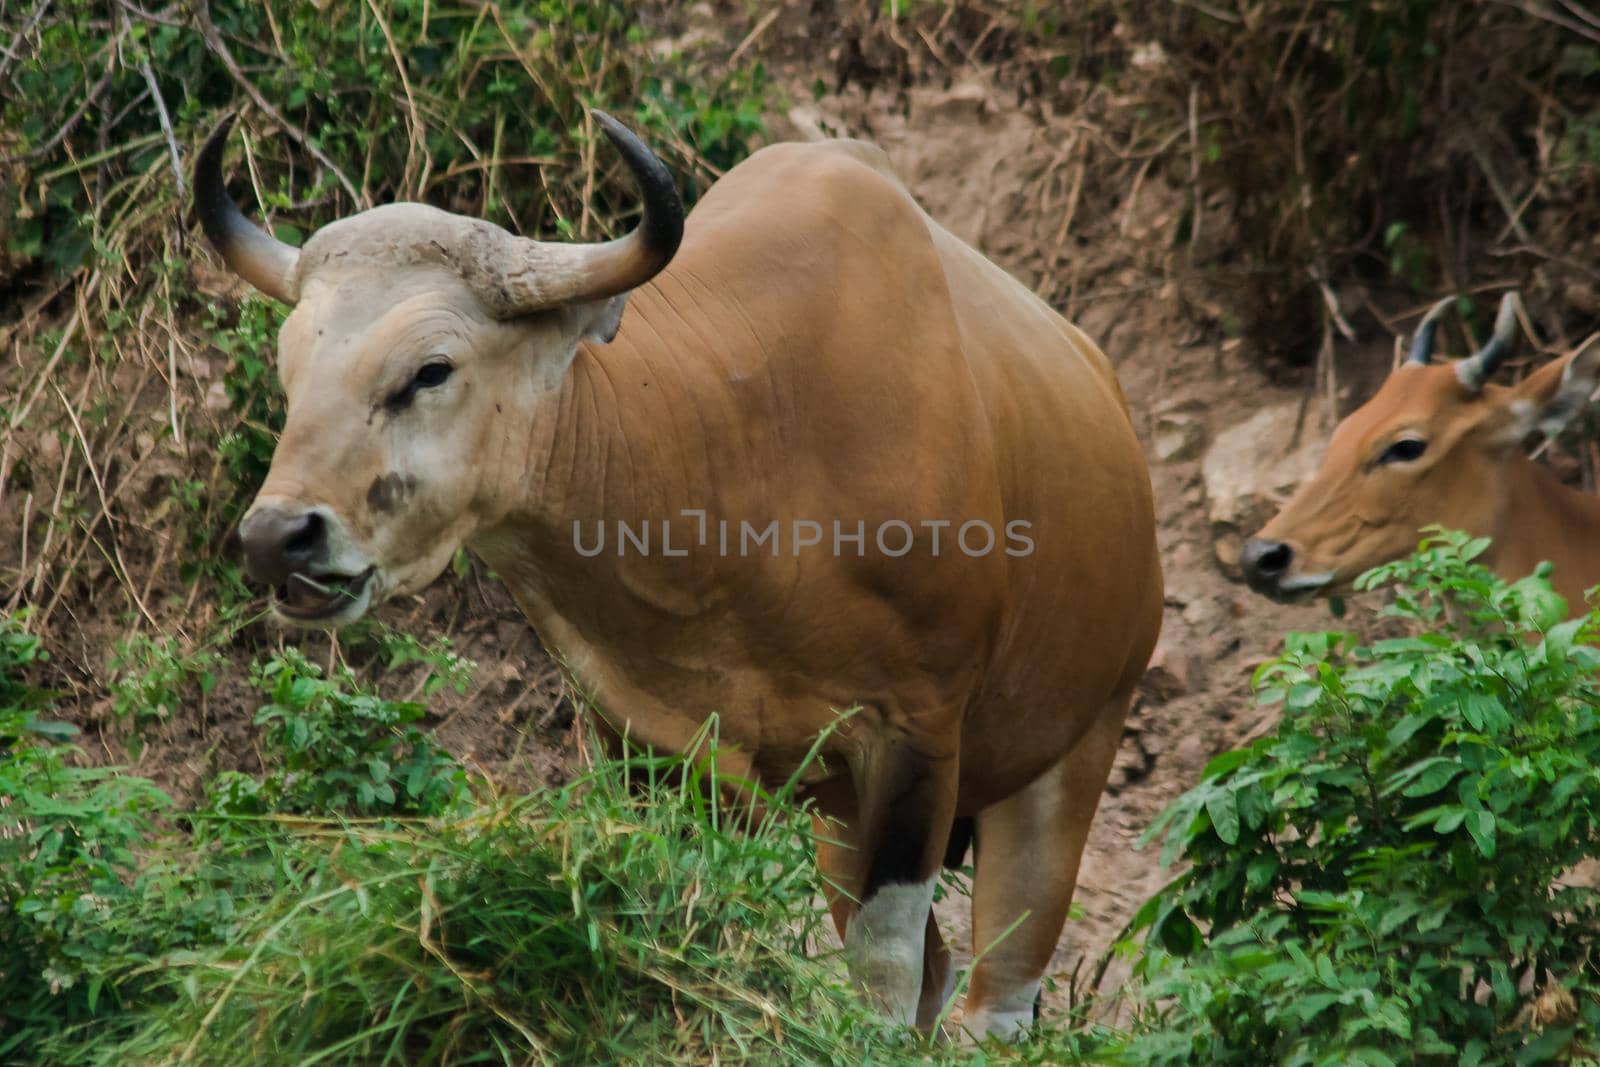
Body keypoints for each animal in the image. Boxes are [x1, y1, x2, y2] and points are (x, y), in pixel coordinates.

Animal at [193, 112, 1158, 1036]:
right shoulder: (652, 752)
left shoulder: (915, 740)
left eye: (431, 368)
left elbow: (880, 980)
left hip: (1073, 753)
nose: (279, 537)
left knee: (997, 996)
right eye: (290, 369)